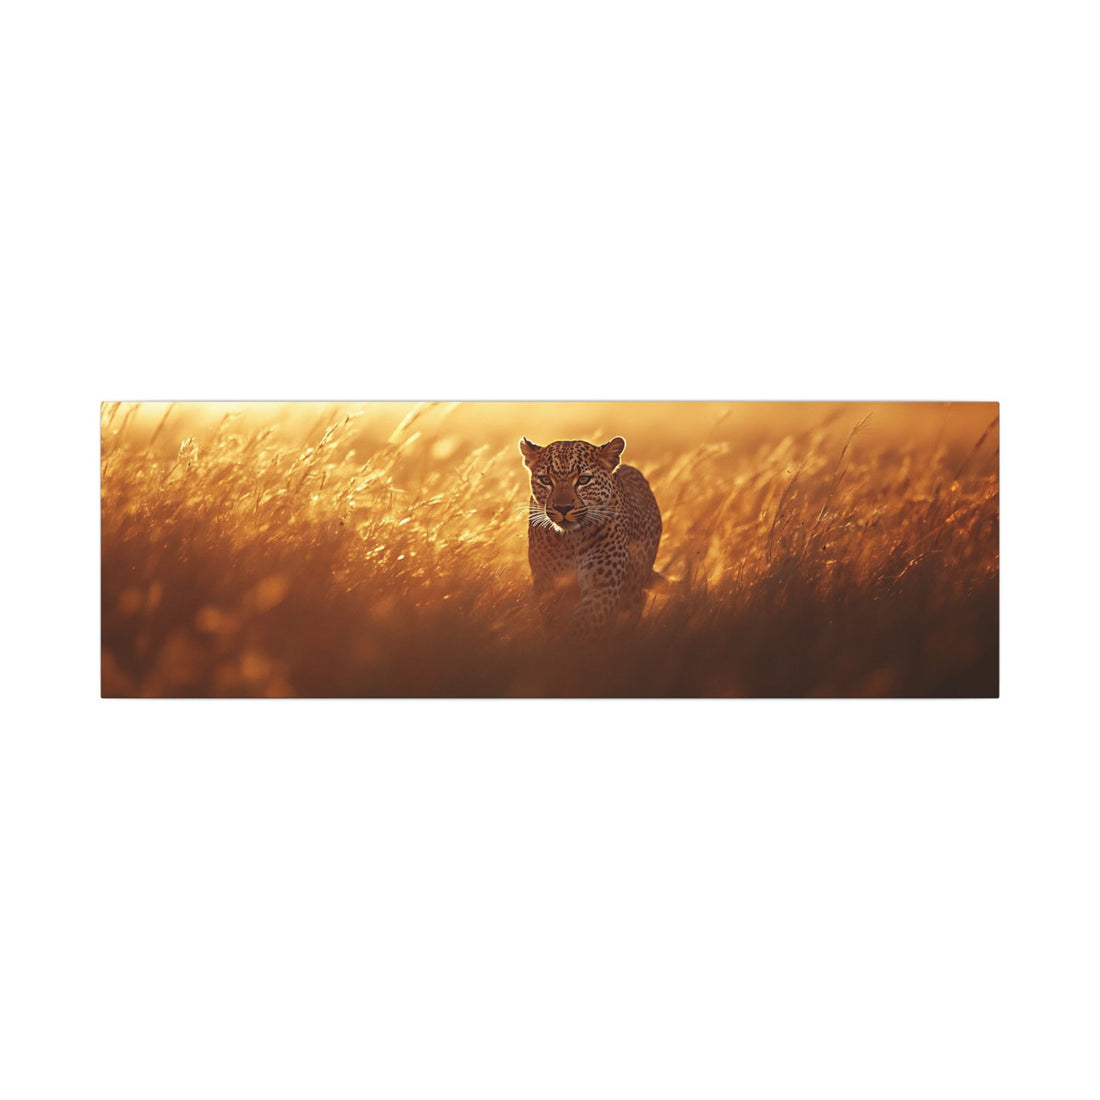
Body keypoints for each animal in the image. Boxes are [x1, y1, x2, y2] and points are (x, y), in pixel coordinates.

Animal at [519, 435, 662, 635]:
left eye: (584, 479)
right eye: (546, 480)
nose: (563, 508)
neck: (571, 539)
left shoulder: (603, 587)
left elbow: (584, 623)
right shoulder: (548, 585)